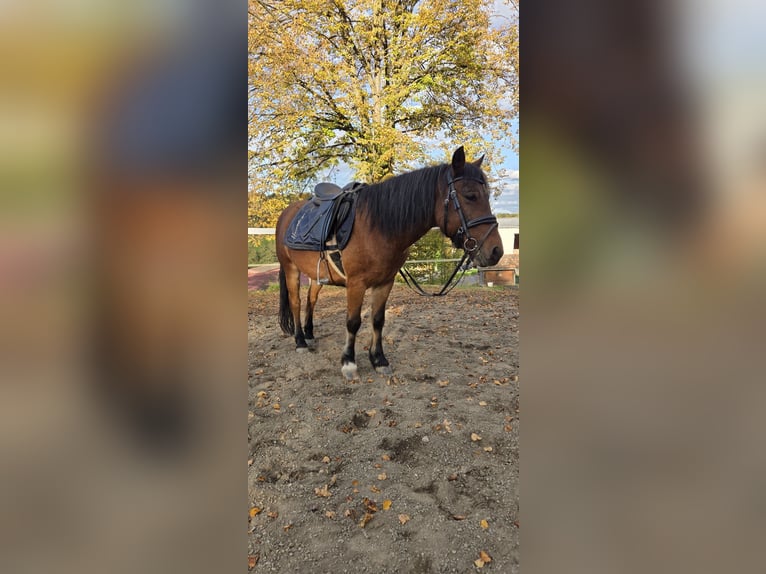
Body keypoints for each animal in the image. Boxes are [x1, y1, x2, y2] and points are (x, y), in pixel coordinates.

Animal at [275, 146, 504, 380]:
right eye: (470, 195)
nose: (496, 251)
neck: (376, 227)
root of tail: (287, 213)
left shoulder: (385, 282)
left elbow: (378, 320)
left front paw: (379, 360)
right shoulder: (356, 284)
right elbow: (353, 322)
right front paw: (348, 363)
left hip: (317, 275)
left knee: (311, 300)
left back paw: (309, 334)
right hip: (291, 269)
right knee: (296, 302)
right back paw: (300, 341)